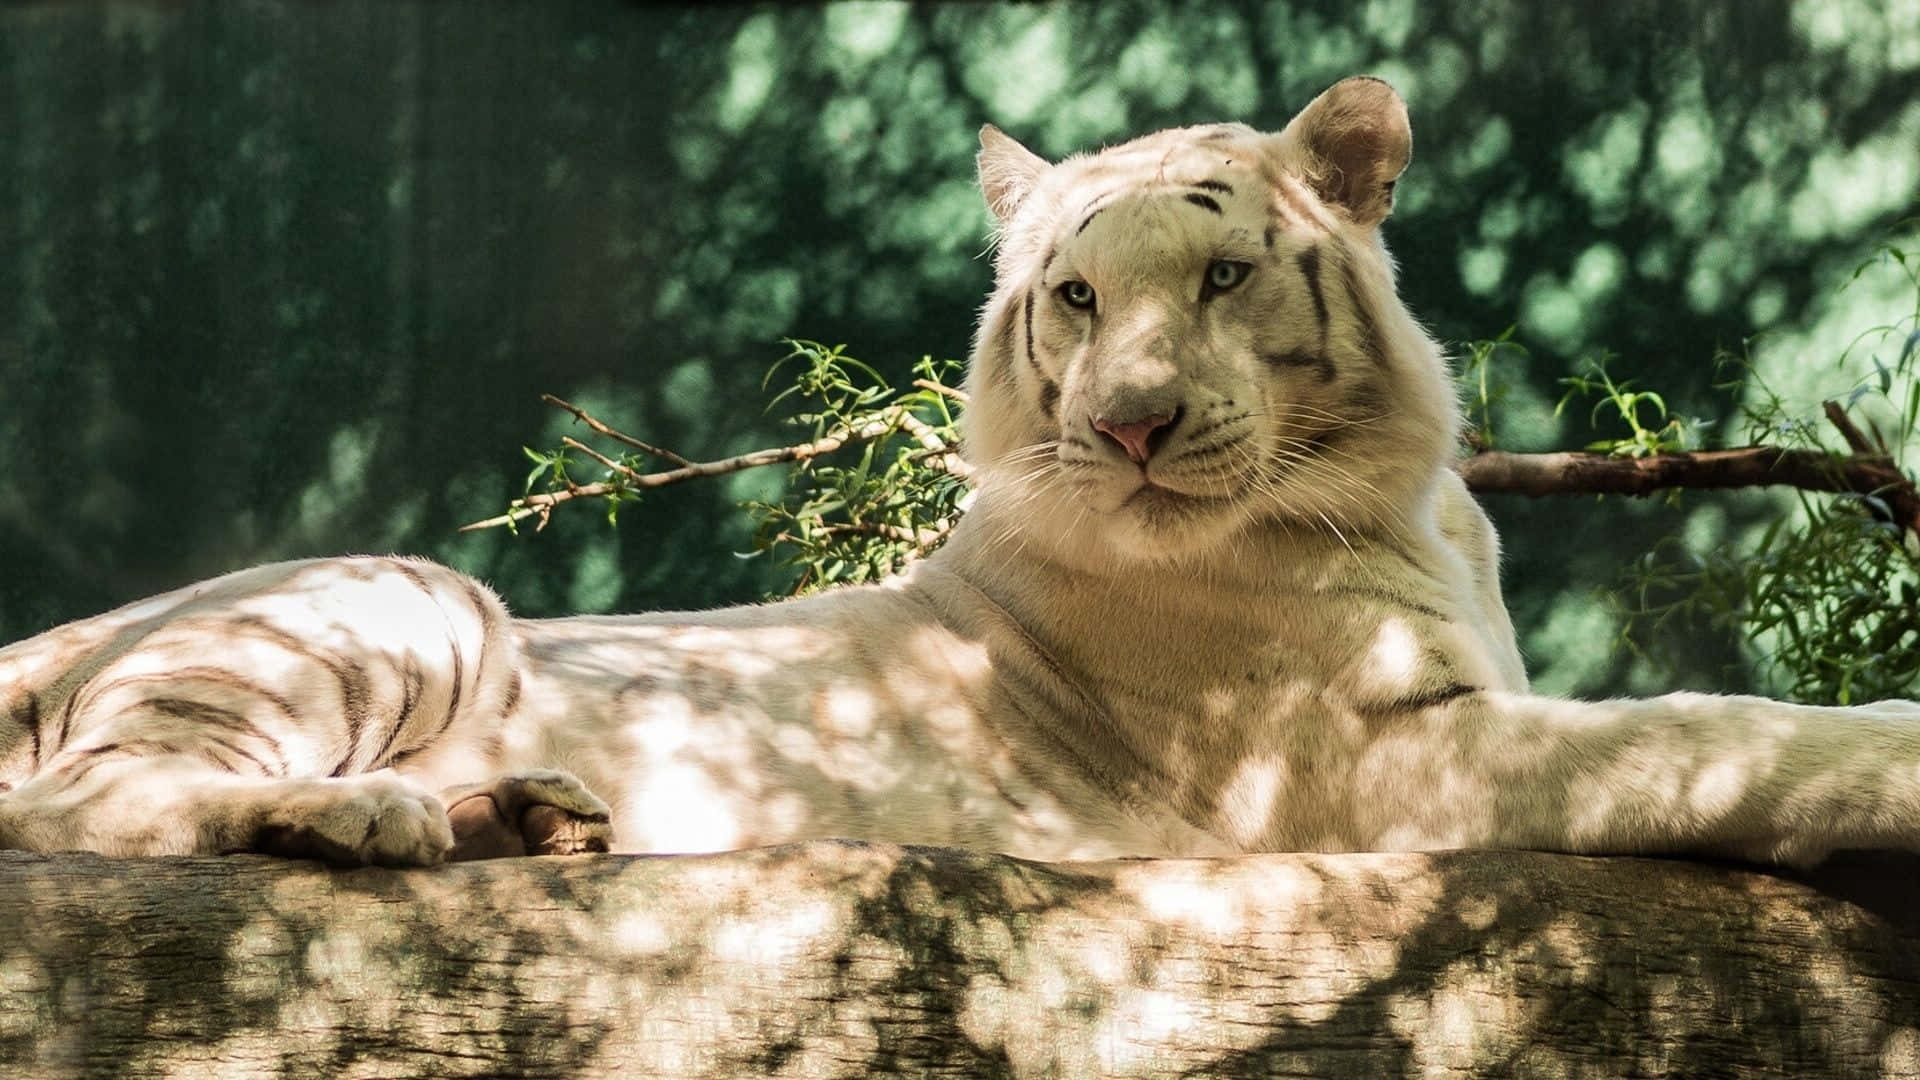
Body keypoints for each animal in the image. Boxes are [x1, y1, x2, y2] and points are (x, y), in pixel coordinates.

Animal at [4, 76, 1919, 869]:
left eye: (1220, 277)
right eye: (1075, 296)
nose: (1131, 423)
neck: (1406, 493)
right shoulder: (1379, 763)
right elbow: (1703, 736)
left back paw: (527, 814)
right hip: (408, 591)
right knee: (78, 801)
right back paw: (362, 818)